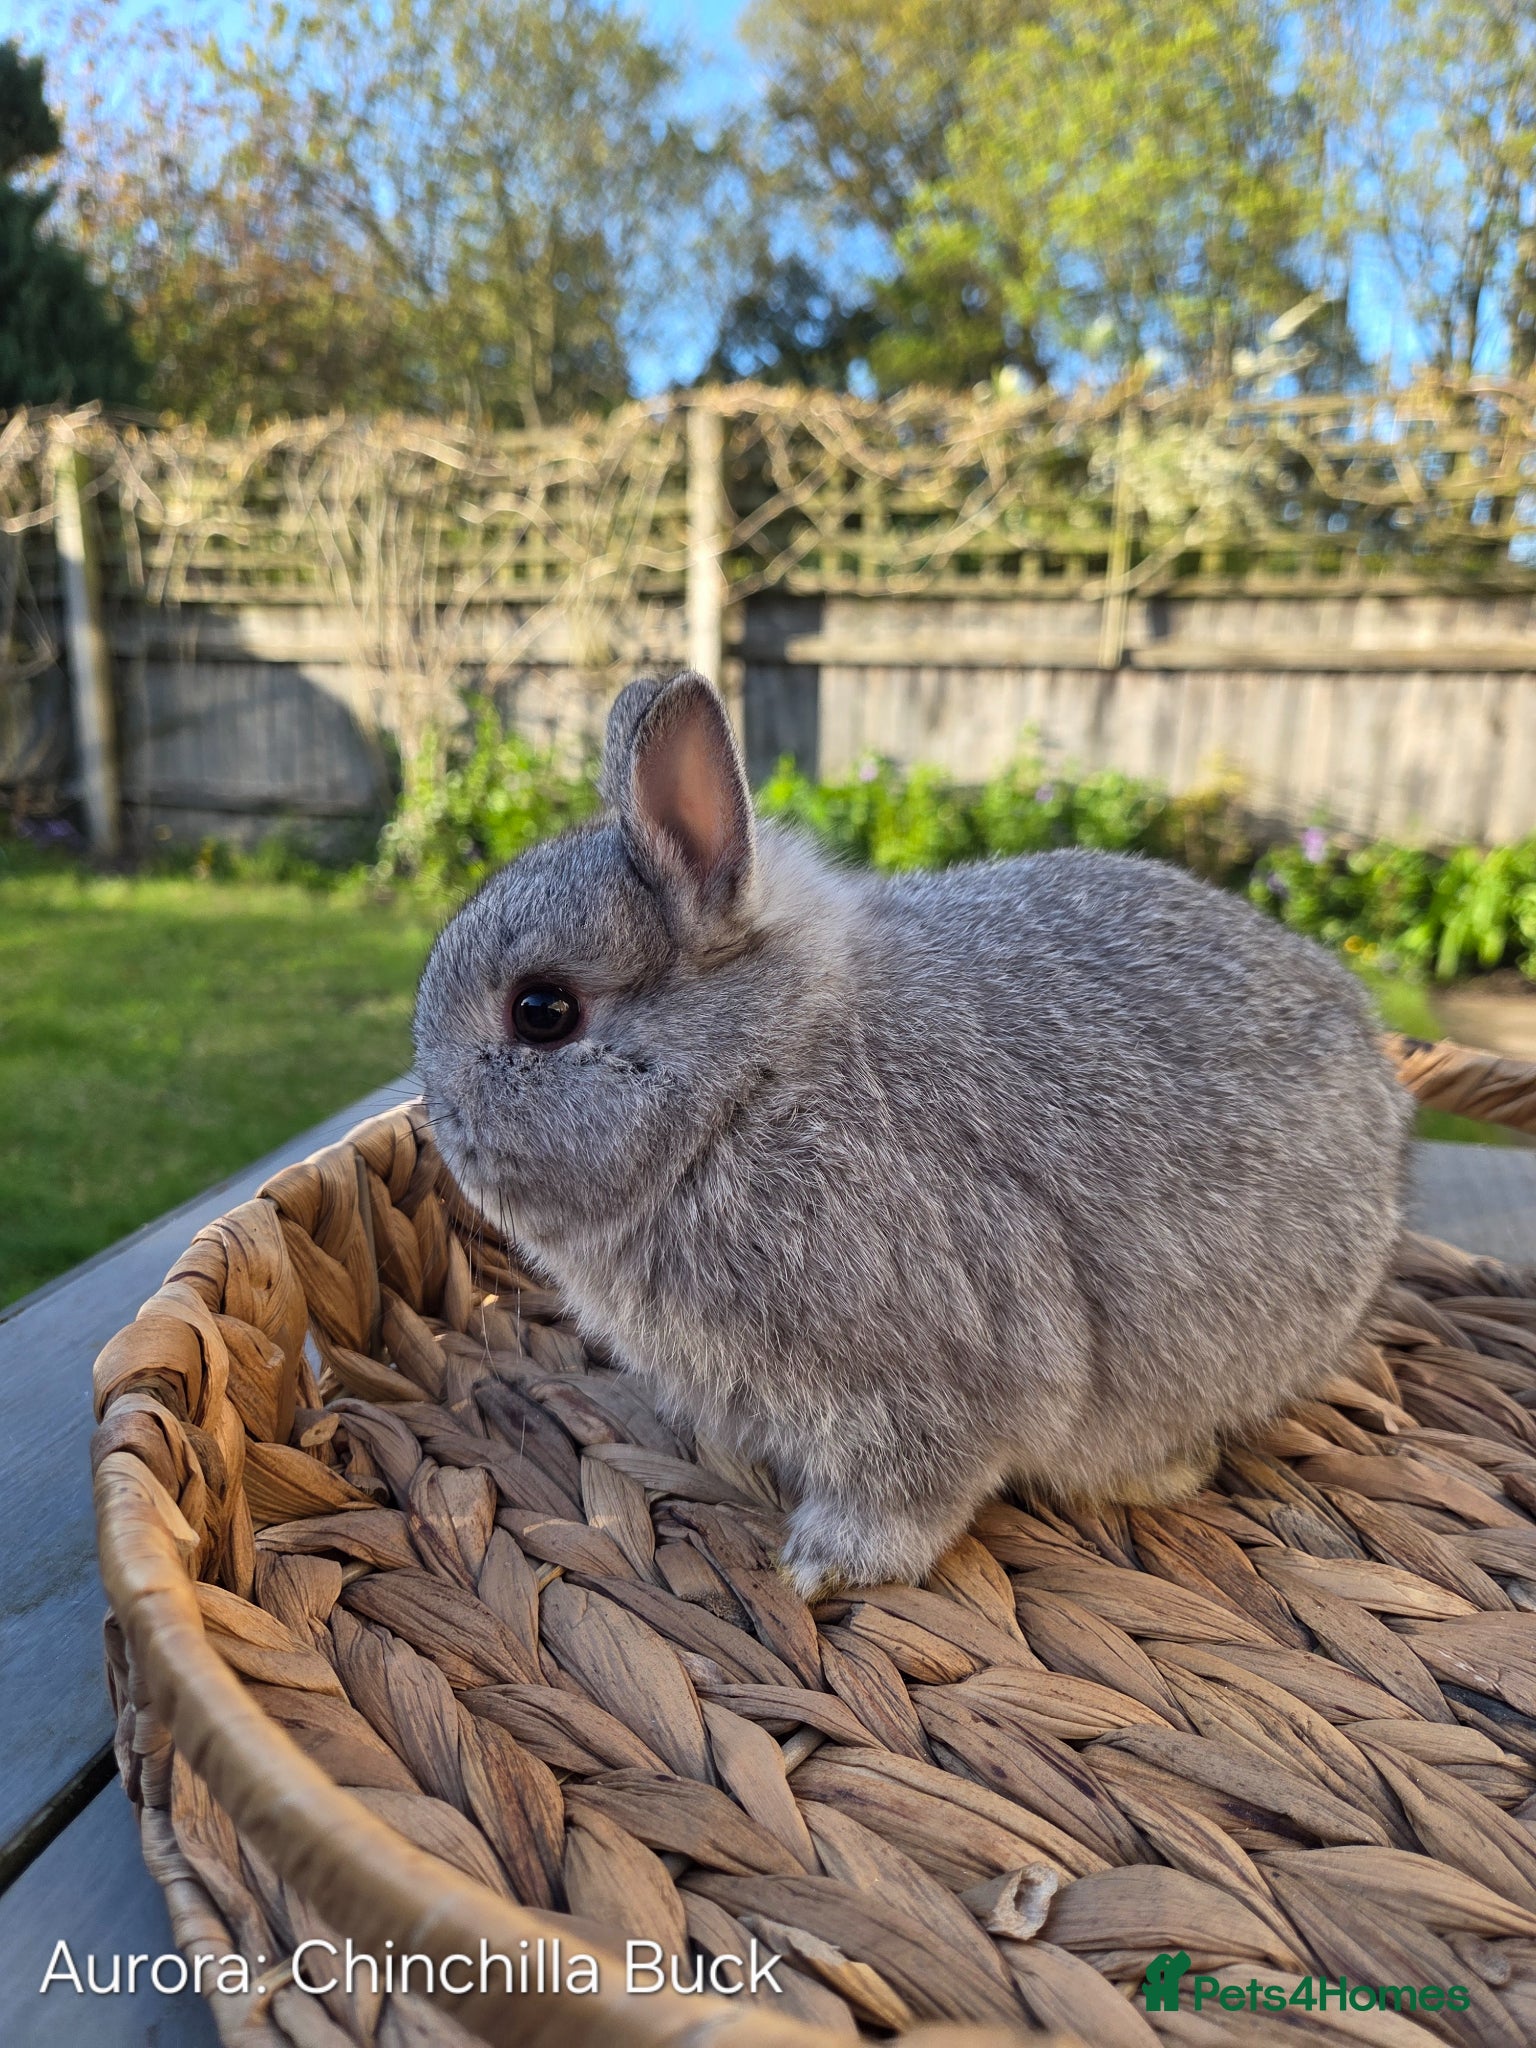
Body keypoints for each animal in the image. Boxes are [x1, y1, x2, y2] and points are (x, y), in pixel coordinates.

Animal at [414, 671, 1412, 1596]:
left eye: (543, 1013)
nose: (442, 1129)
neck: (752, 1080)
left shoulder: (931, 1387)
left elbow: (913, 1493)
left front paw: (820, 1567)